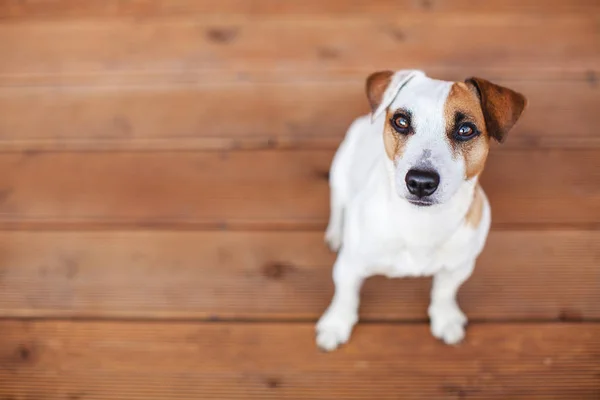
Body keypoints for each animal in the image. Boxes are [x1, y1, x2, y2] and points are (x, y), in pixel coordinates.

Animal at [316, 70, 528, 352]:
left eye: (465, 130)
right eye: (401, 121)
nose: (420, 182)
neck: (420, 224)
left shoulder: (459, 268)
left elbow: (444, 293)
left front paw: (445, 319)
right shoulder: (349, 266)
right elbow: (345, 296)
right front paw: (335, 325)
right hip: (339, 174)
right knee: (338, 204)